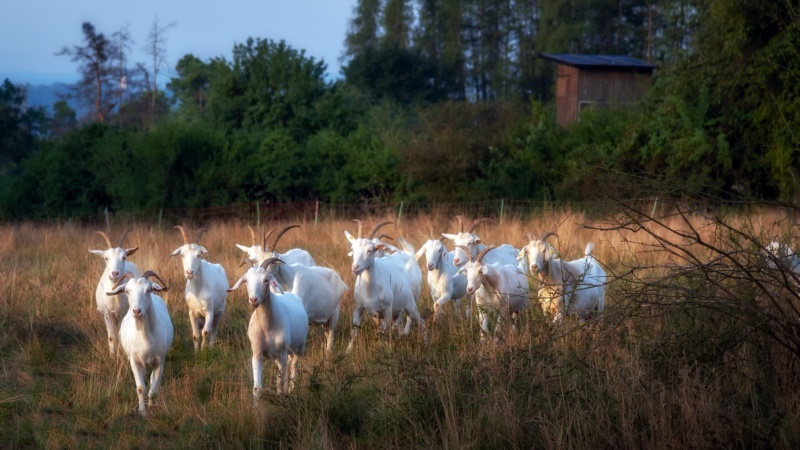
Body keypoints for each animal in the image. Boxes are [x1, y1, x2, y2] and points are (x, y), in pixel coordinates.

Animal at [108, 270, 173, 414]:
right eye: (127, 291)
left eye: (148, 290)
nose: (137, 311)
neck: (145, 338)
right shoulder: (134, 361)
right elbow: (140, 388)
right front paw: (142, 412)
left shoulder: (160, 360)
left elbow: (154, 389)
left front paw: (152, 406)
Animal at [230, 256, 310, 398]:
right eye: (246, 280)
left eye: (266, 280)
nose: (253, 299)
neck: (267, 327)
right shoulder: (257, 352)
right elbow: (257, 388)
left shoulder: (282, 352)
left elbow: (282, 381)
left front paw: (283, 395)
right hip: (277, 356)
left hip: (299, 348)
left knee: (293, 367)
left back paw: (292, 390)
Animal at [344, 223, 424, 354]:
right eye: (353, 249)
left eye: (370, 250)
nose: (355, 267)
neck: (370, 291)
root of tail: (408, 254)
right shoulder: (360, 308)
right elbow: (355, 332)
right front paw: (347, 352)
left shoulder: (387, 309)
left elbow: (384, 332)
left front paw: (384, 348)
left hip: (412, 301)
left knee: (413, 320)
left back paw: (412, 336)